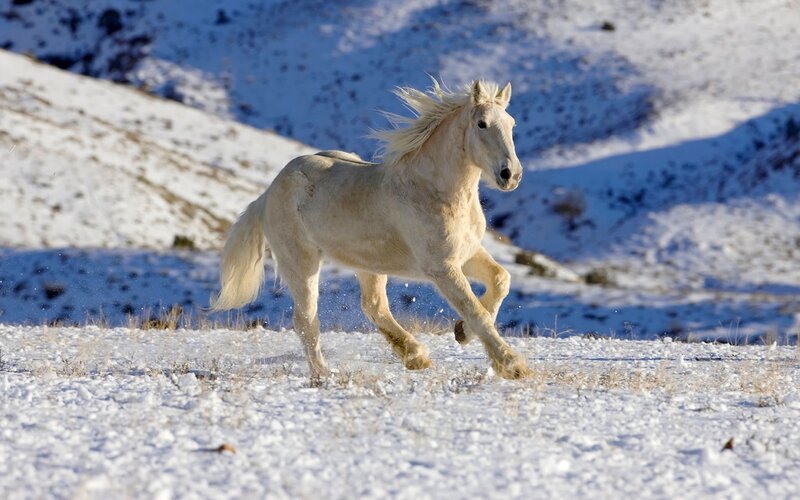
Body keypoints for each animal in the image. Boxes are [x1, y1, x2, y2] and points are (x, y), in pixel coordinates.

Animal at [211, 79, 529, 379]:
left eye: (512, 123)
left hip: (369, 263)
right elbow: (474, 309)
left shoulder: (467, 252)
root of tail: (267, 193)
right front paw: (513, 366)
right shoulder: (442, 267)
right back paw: (323, 374)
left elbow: (500, 280)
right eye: (481, 123)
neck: (433, 190)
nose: (510, 175)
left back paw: (416, 357)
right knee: (306, 320)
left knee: (373, 305)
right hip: (300, 263)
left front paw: (462, 332)